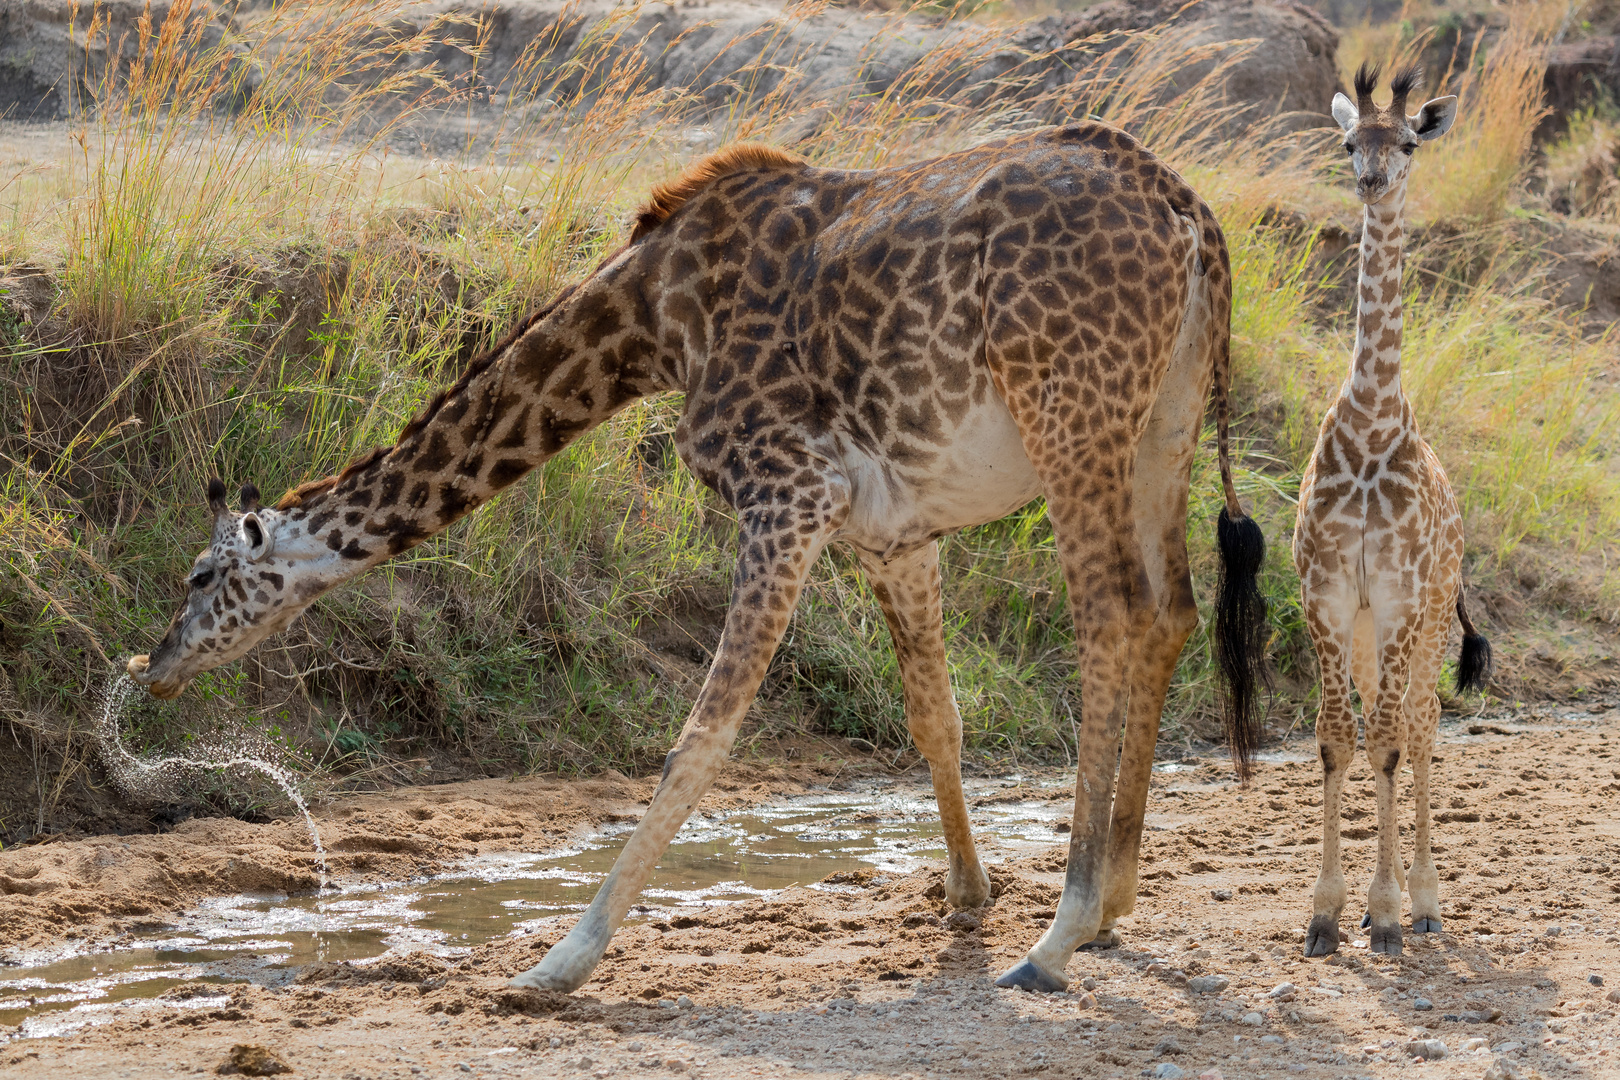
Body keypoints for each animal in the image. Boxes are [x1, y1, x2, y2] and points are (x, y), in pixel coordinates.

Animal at [126, 122, 1263, 990]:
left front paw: (561, 961)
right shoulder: (891, 531)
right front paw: (967, 896)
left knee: (1113, 616)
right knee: (1168, 612)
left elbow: (701, 734)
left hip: (1072, 410)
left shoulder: (787, 492)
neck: (654, 323)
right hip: (1159, 428)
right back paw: (1113, 899)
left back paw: (1061, 932)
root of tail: (1190, 214)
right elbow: (934, 717)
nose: (154, 667)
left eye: (199, 578)